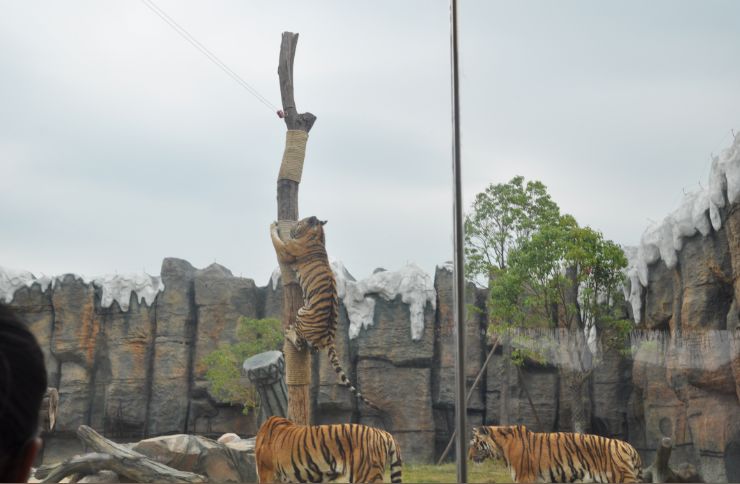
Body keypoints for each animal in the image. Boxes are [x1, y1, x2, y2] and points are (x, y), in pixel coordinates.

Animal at [268, 217, 378, 410]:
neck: (318, 235)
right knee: (312, 348)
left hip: (301, 312)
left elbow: (276, 241)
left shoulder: (286, 250)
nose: (293, 227)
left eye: (299, 222)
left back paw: (289, 332)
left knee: (300, 343)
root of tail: (328, 337)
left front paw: (273, 226)